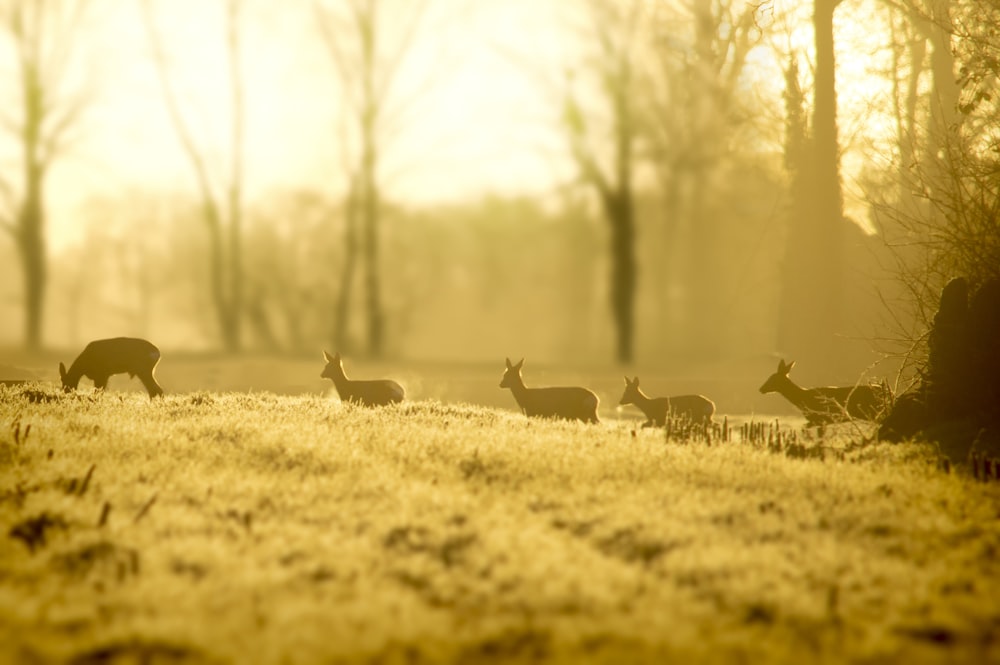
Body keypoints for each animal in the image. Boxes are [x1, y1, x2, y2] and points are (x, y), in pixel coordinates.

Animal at [756, 358, 892, 426]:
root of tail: (887, 391)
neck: (802, 398)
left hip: (876, 412)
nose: (761, 389)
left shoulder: (820, 419)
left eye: (773, 379)